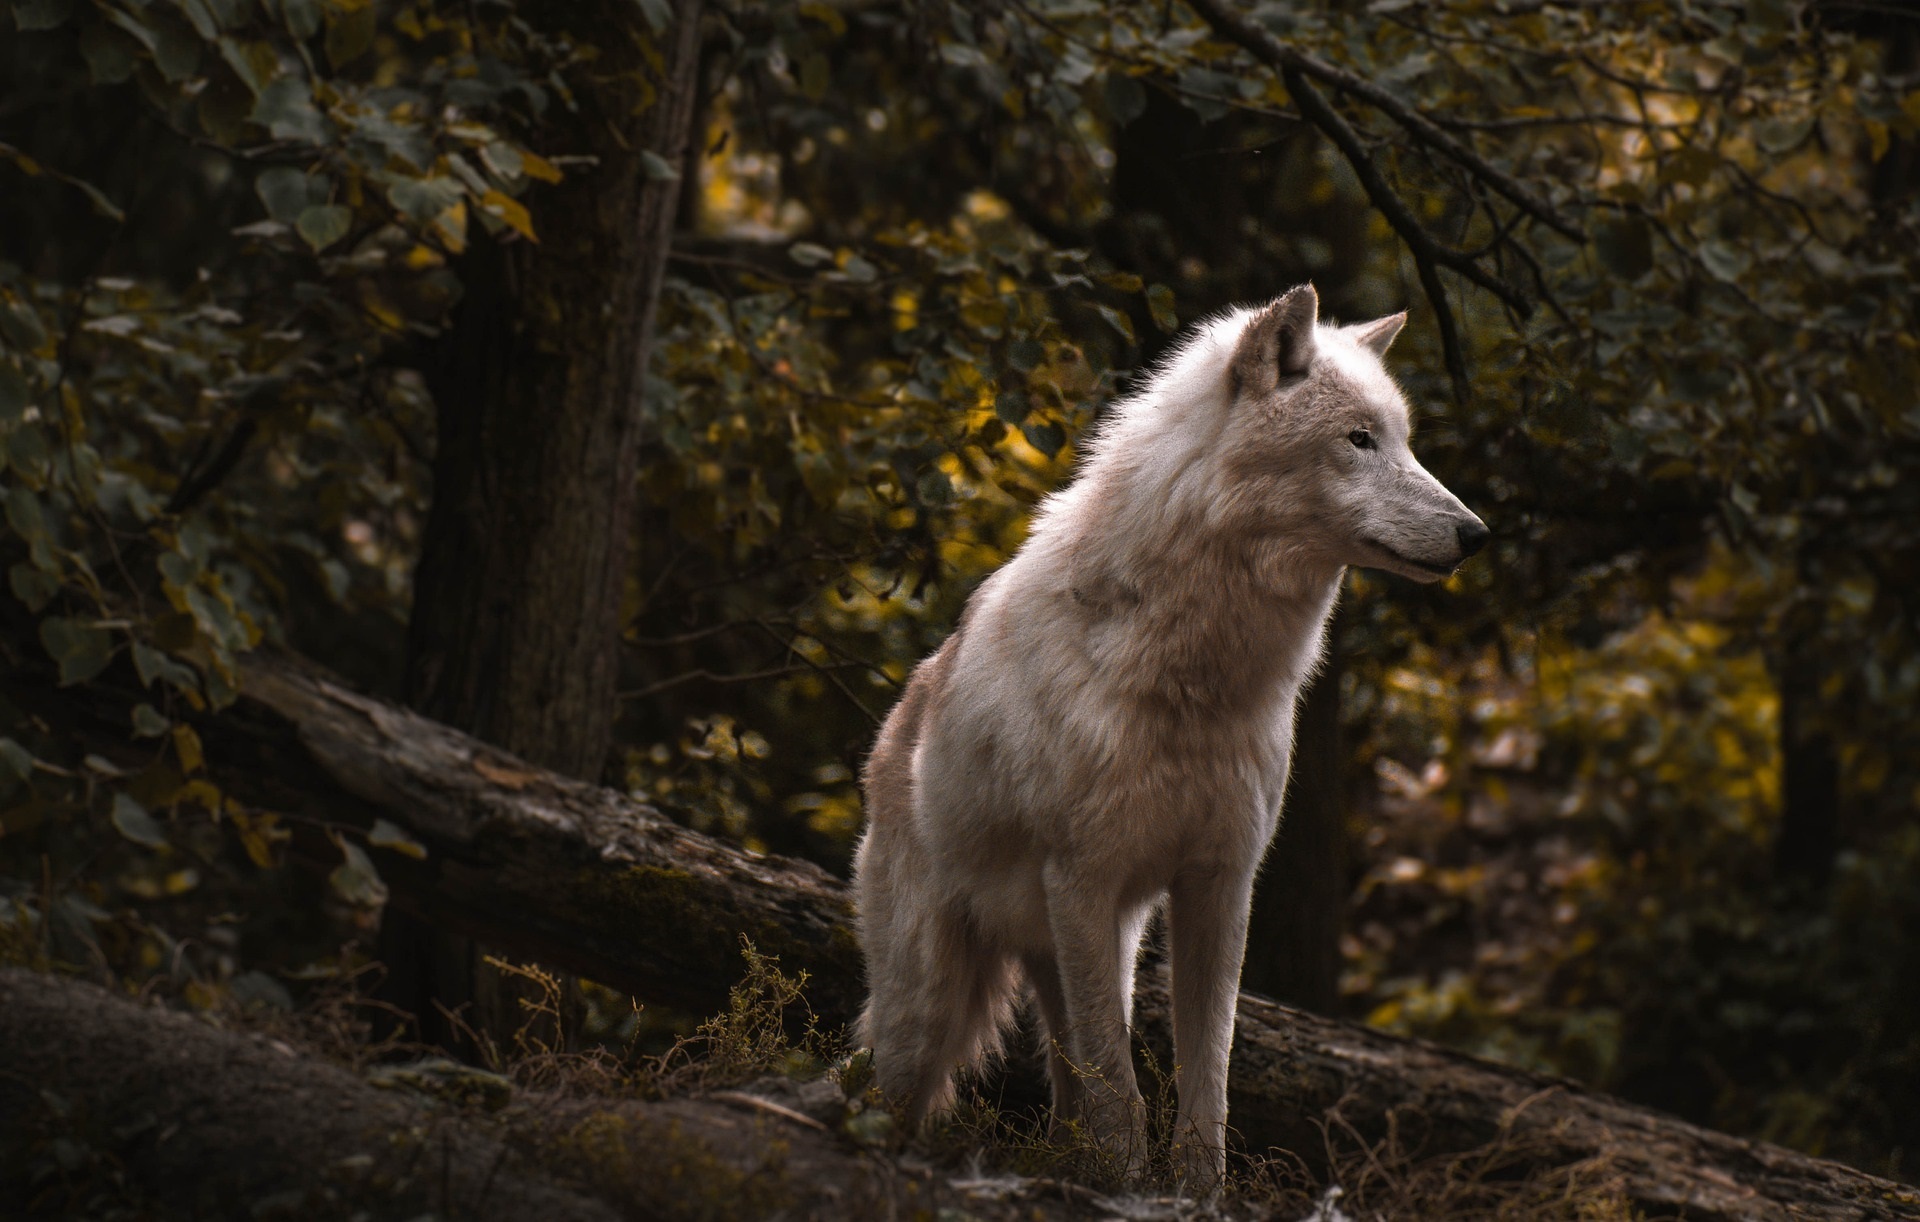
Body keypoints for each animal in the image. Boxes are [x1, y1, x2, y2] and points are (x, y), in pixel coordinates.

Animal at [851, 284, 1487, 1185]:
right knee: (897, 1084)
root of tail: (892, 732)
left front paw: (1194, 1189)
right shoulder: (1080, 879)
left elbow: (1205, 1076)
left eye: (1403, 440)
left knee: (1065, 1082)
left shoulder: (1220, 883)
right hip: (935, 1001)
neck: (1196, 683)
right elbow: (1120, 1088)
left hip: (1094, 954)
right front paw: (1126, 1183)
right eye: (1359, 439)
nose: (1477, 534)